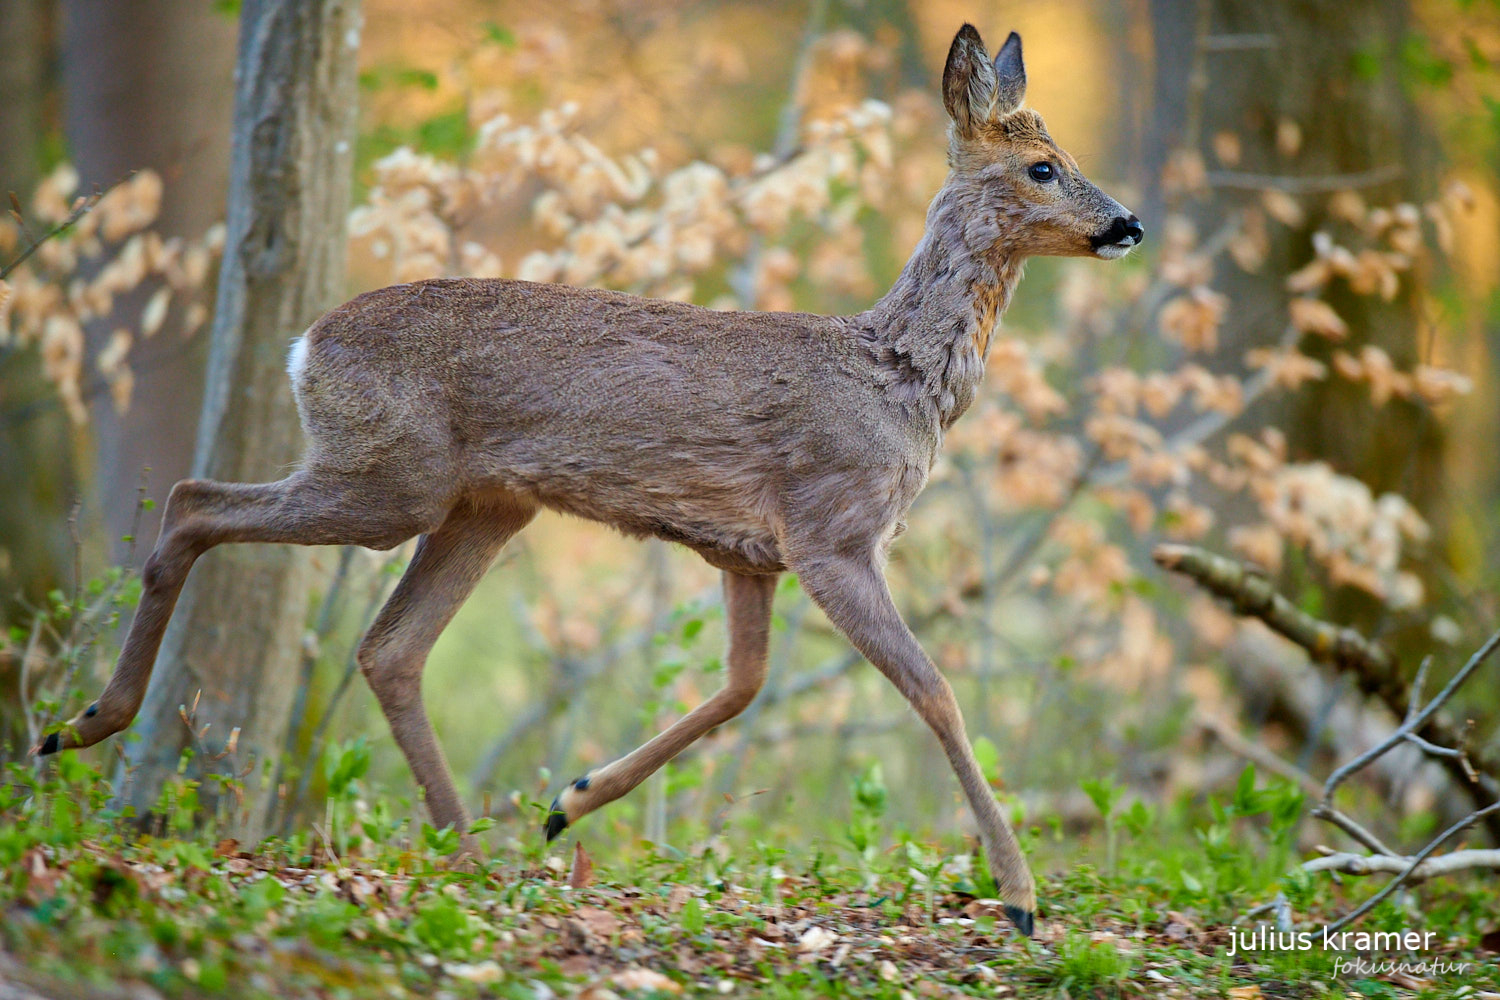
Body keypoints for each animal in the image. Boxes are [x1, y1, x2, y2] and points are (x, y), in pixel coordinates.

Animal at [41, 25, 1140, 941]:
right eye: (1042, 165)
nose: (1128, 222)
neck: (898, 376)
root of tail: (305, 345)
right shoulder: (831, 531)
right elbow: (934, 689)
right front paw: (1021, 897)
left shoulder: (752, 553)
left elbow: (740, 685)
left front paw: (566, 803)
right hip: (390, 480)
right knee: (193, 501)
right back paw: (81, 723)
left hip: (486, 504)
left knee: (388, 646)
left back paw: (468, 850)